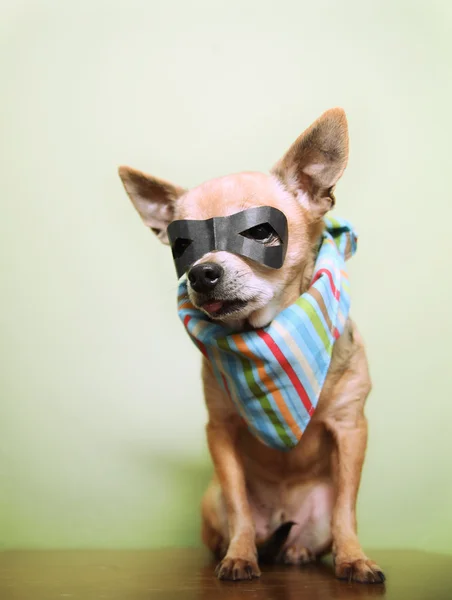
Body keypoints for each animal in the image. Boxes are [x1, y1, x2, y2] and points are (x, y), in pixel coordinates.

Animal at [117, 108, 384, 580]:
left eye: (260, 232)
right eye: (182, 246)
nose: (201, 273)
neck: (263, 332)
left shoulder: (351, 431)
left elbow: (345, 510)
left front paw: (353, 558)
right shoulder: (220, 433)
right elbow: (238, 502)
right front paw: (239, 555)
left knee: (312, 531)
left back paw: (297, 552)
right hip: (211, 500)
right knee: (235, 523)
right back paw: (243, 548)